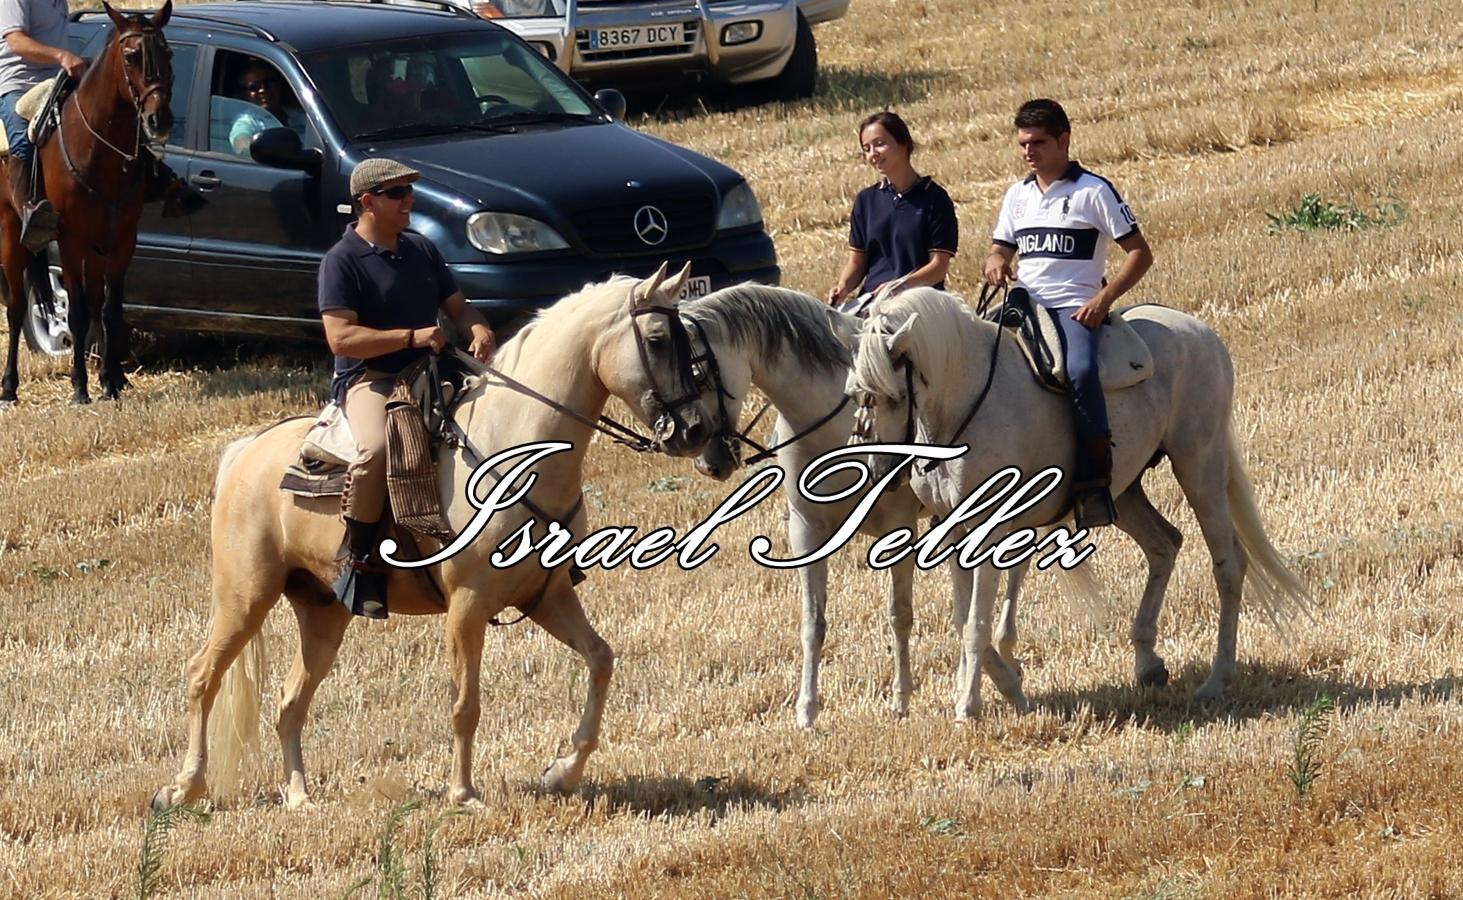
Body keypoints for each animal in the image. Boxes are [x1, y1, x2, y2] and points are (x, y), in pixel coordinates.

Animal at [0, 0, 174, 403]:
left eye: (167, 52)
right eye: (131, 56)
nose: (158, 119)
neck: (96, 146)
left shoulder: (122, 237)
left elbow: (109, 309)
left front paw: (111, 381)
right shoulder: (70, 239)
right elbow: (77, 313)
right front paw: (80, 387)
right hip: (10, 229)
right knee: (16, 307)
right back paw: (9, 386)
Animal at [152, 263, 713, 813]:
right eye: (658, 338)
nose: (695, 431)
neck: (510, 449)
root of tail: (245, 451)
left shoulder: (546, 595)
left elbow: (600, 660)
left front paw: (561, 773)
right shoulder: (467, 605)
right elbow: (466, 704)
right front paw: (463, 794)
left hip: (322, 614)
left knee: (290, 702)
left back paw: (298, 797)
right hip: (244, 597)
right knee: (202, 676)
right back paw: (181, 789)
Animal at [684, 286, 1106, 725]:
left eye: (695, 371)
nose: (707, 460)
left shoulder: (901, 523)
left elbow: (903, 613)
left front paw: (914, 696)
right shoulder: (806, 528)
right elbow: (813, 622)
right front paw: (807, 710)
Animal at [848, 288, 1316, 717]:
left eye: (891, 395)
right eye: (856, 394)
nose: (878, 469)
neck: (966, 404)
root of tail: (1201, 332)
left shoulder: (989, 530)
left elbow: (976, 621)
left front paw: (971, 703)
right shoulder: (954, 529)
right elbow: (964, 617)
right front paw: (1000, 688)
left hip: (1199, 464)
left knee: (1228, 564)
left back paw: (1217, 679)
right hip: (1123, 490)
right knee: (1164, 544)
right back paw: (1148, 662)